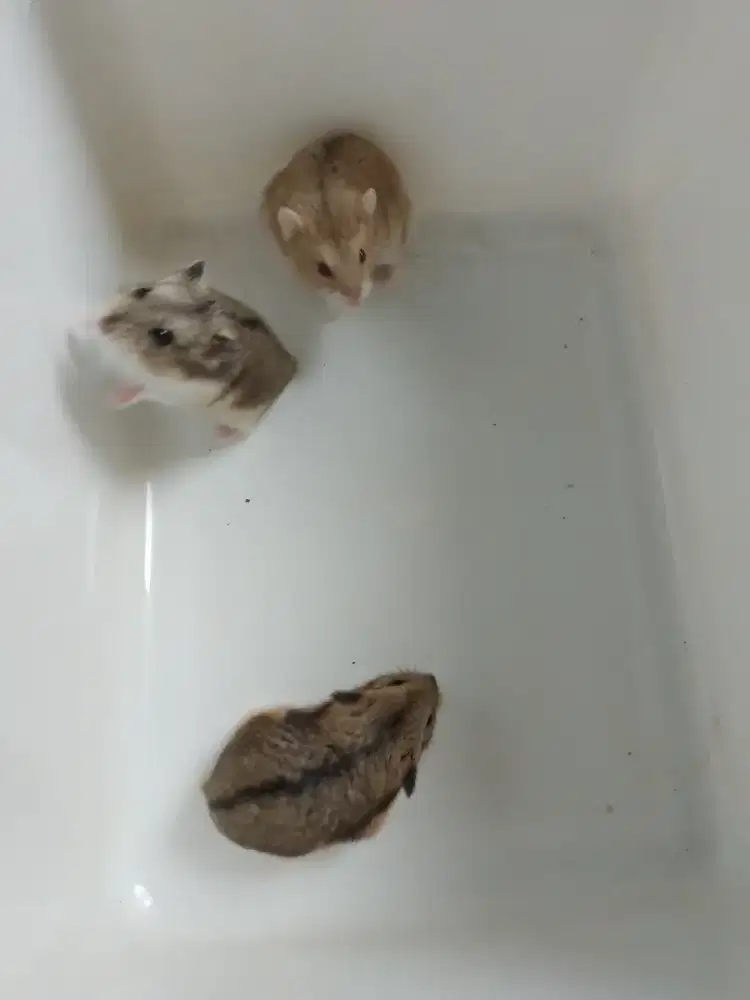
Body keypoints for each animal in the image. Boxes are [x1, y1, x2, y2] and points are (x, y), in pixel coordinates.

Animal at [71, 261, 297, 442]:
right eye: (142, 291)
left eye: (163, 336)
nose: (104, 324)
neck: (140, 362)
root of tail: (292, 362)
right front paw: (75, 328)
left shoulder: (177, 394)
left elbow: (144, 391)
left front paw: (109, 402)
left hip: (246, 416)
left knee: (245, 432)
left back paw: (220, 437)